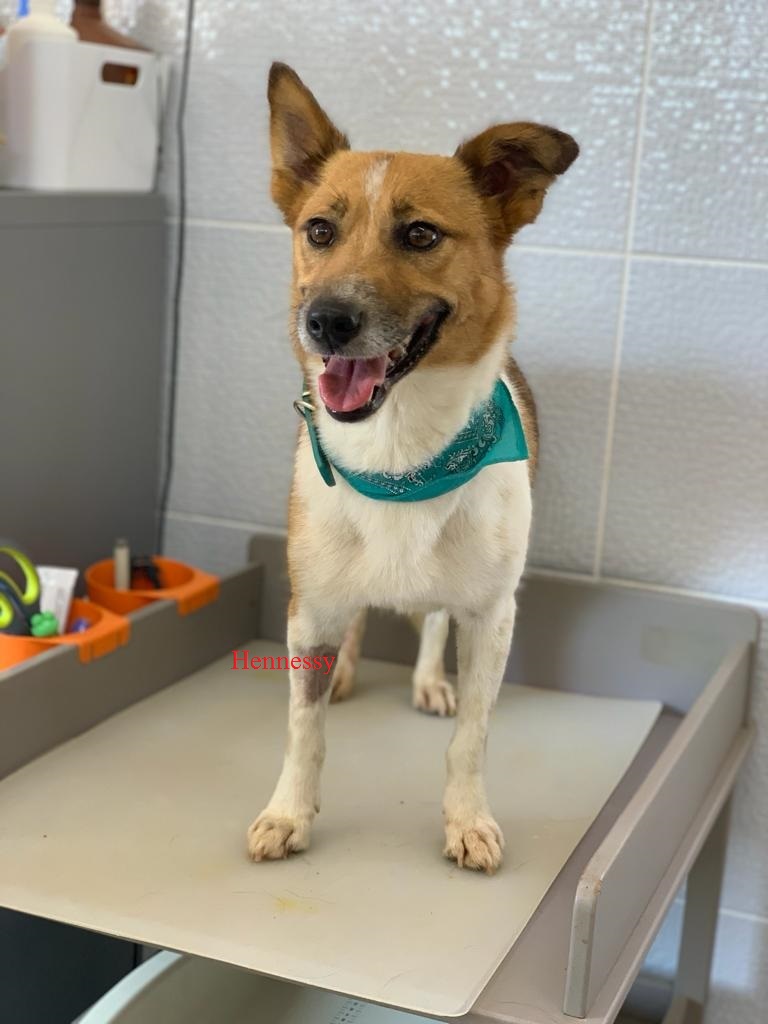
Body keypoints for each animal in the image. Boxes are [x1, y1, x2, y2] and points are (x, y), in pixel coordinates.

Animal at [247, 63, 577, 874]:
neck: (399, 457)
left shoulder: (492, 617)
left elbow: (472, 740)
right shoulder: (309, 605)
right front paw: (289, 813)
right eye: (320, 231)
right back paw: (347, 671)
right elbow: (304, 731)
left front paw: (467, 820)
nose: (326, 321)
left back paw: (428, 680)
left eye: (420, 233)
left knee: (429, 619)